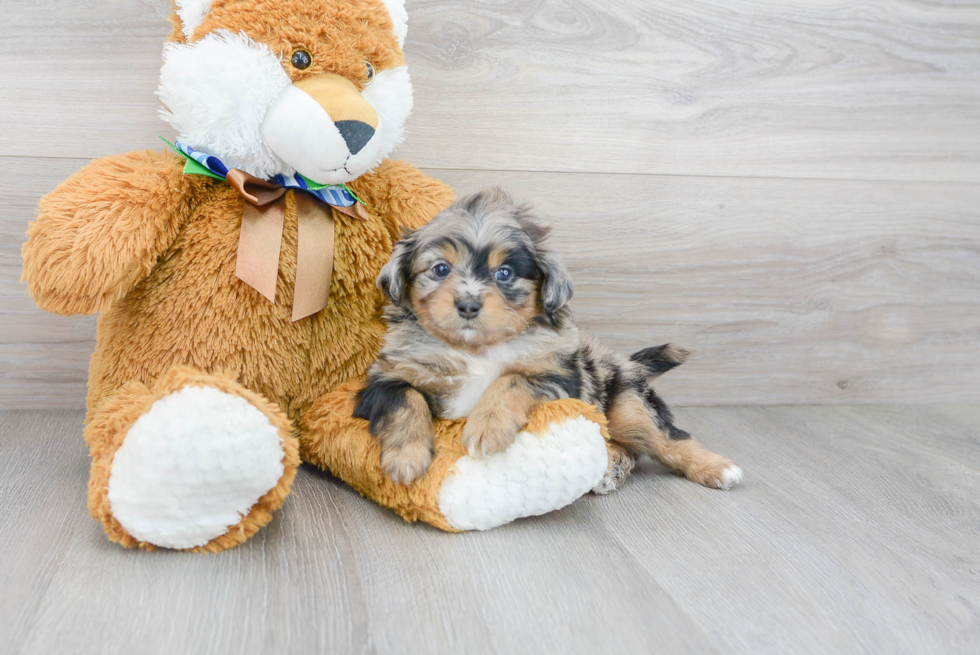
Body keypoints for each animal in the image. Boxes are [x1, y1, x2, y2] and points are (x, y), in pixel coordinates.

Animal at [354, 186, 744, 492]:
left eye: (504, 273)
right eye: (440, 269)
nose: (467, 305)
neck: (475, 350)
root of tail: (622, 362)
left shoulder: (559, 377)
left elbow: (512, 379)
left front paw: (487, 428)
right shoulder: (382, 380)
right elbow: (406, 400)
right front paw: (406, 457)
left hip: (629, 405)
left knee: (666, 438)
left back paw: (717, 468)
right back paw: (610, 465)